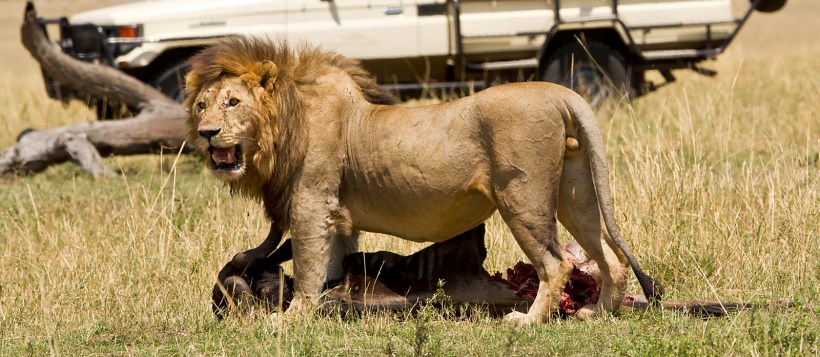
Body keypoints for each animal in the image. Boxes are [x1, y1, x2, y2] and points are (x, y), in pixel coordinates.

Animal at [183, 36, 664, 322]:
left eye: (232, 102)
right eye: (202, 105)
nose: (207, 134)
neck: (282, 125)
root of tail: (559, 92)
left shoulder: (310, 206)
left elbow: (305, 267)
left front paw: (291, 318)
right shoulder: (336, 219)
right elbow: (332, 264)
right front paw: (331, 301)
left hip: (522, 199)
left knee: (556, 263)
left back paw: (529, 320)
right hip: (575, 196)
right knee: (611, 258)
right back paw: (598, 312)